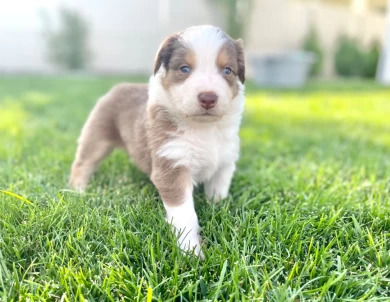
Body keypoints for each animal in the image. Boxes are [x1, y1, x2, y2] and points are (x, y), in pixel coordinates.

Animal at [69, 24, 245, 258]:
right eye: (184, 69)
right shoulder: (172, 166)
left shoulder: (225, 162)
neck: (204, 129)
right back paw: (78, 190)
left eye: (227, 71)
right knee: (83, 163)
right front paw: (191, 252)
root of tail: (119, 86)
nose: (208, 98)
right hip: (97, 136)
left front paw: (217, 210)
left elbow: (219, 192)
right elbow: (185, 215)